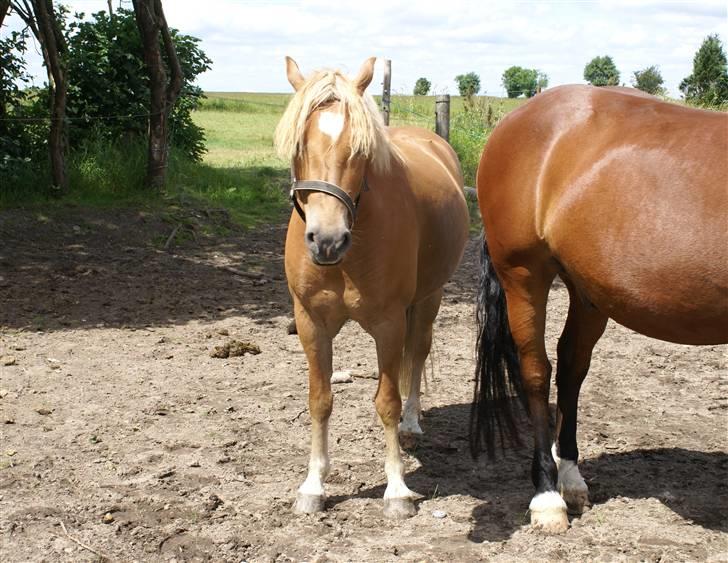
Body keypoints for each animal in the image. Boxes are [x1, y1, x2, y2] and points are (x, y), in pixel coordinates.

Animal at [276, 57, 470, 520]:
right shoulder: (310, 323)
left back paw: (412, 425)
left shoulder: (387, 323)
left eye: (361, 151)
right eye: (299, 145)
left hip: (429, 298)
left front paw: (397, 489)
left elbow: (387, 401)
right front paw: (313, 485)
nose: (327, 240)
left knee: (418, 353)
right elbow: (320, 399)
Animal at [472, 87, 728, 532]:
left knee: (571, 366)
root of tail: (517, 117)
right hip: (524, 274)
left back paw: (571, 477)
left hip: (587, 289)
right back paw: (547, 496)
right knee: (537, 372)